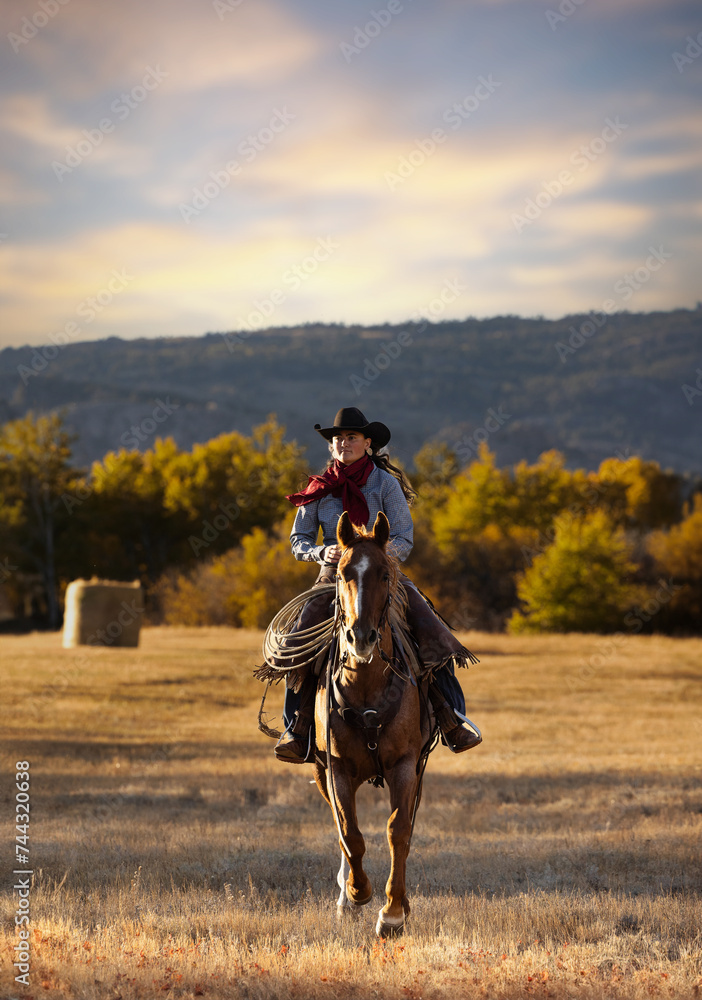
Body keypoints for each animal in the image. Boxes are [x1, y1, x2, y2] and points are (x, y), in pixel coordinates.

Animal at [314, 512, 434, 932]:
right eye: (343, 572)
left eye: (384, 573)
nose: (361, 637)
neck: (366, 685)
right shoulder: (336, 769)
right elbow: (350, 833)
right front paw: (356, 892)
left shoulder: (405, 766)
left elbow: (398, 831)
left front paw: (393, 912)